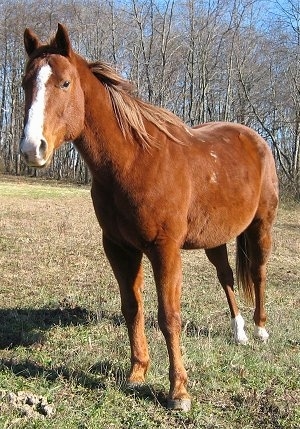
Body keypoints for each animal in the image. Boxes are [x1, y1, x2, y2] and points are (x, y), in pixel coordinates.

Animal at [20, 24, 278, 412]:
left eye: (64, 83)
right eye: (25, 83)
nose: (31, 148)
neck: (134, 161)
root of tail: (257, 139)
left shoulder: (164, 249)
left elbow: (169, 317)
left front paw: (179, 392)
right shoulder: (119, 248)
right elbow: (132, 308)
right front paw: (137, 373)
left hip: (262, 225)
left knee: (259, 273)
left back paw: (261, 330)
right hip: (214, 239)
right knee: (227, 278)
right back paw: (239, 332)